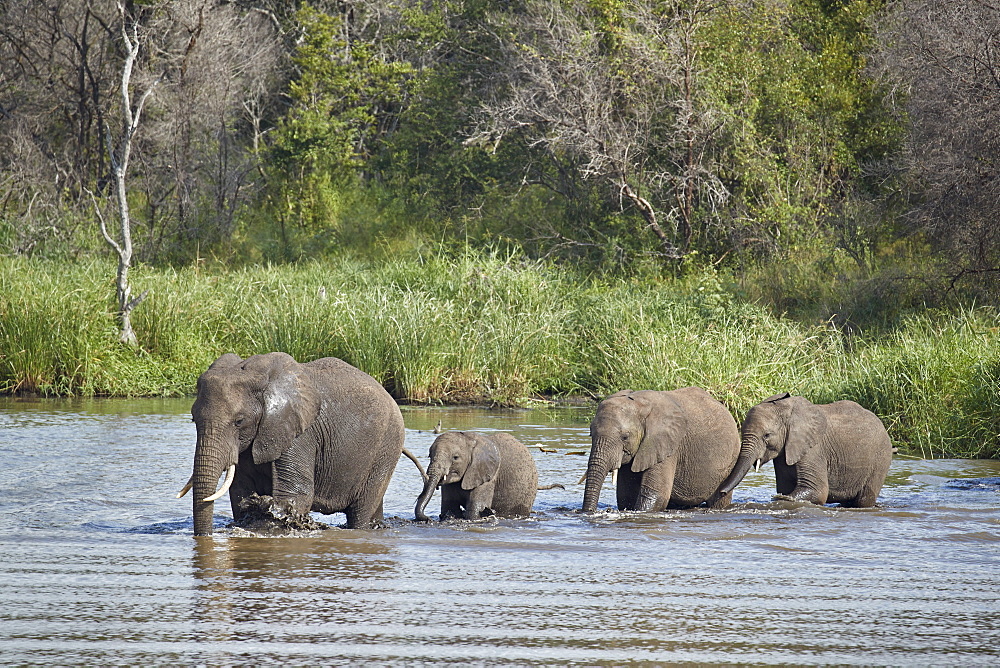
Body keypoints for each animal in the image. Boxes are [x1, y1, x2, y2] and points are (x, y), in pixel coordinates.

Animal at [179, 352, 414, 536]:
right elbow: (240, 492)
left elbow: (295, 495)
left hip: (386, 447)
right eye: (194, 419)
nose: (204, 537)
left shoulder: (299, 434)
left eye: (239, 421)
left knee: (361, 512)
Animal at [580, 386, 744, 512]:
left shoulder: (668, 445)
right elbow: (626, 496)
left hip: (729, 463)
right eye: (591, 434)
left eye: (625, 437)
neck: (639, 403)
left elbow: (656, 495)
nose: (589, 512)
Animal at [720, 392, 892, 506]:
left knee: (863, 500)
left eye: (767, 435)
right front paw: (782, 496)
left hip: (881, 458)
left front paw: (781, 498)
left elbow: (817, 491)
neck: (786, 409)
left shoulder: (813, 449)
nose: (721, 491)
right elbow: (786, 487)